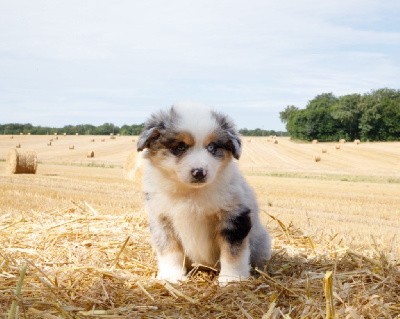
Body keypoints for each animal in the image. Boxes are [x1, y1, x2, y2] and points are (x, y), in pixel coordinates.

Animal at [138, 102, 272, 284]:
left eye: (212, 147)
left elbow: (233, 253)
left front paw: (232, 279)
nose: (199, 172)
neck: (192, 193)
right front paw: (172, 276)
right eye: (180, 147)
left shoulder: (234, 216)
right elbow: (169, 250)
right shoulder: (162, 219)